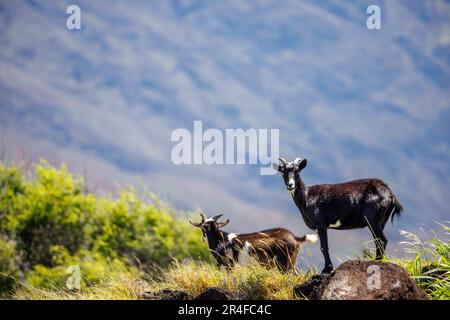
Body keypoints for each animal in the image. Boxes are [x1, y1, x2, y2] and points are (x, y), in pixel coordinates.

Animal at [274, 157, 404, 272]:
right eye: (283, 172)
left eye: (297, 171)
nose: (290, 185)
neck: (307, 196)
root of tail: (390, 194)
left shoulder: (321, 224)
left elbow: (324, 247)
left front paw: (327, 269)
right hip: (382, 221)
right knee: (378, 241)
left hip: (373, 220)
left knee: (382, 240)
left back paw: (377, 262)